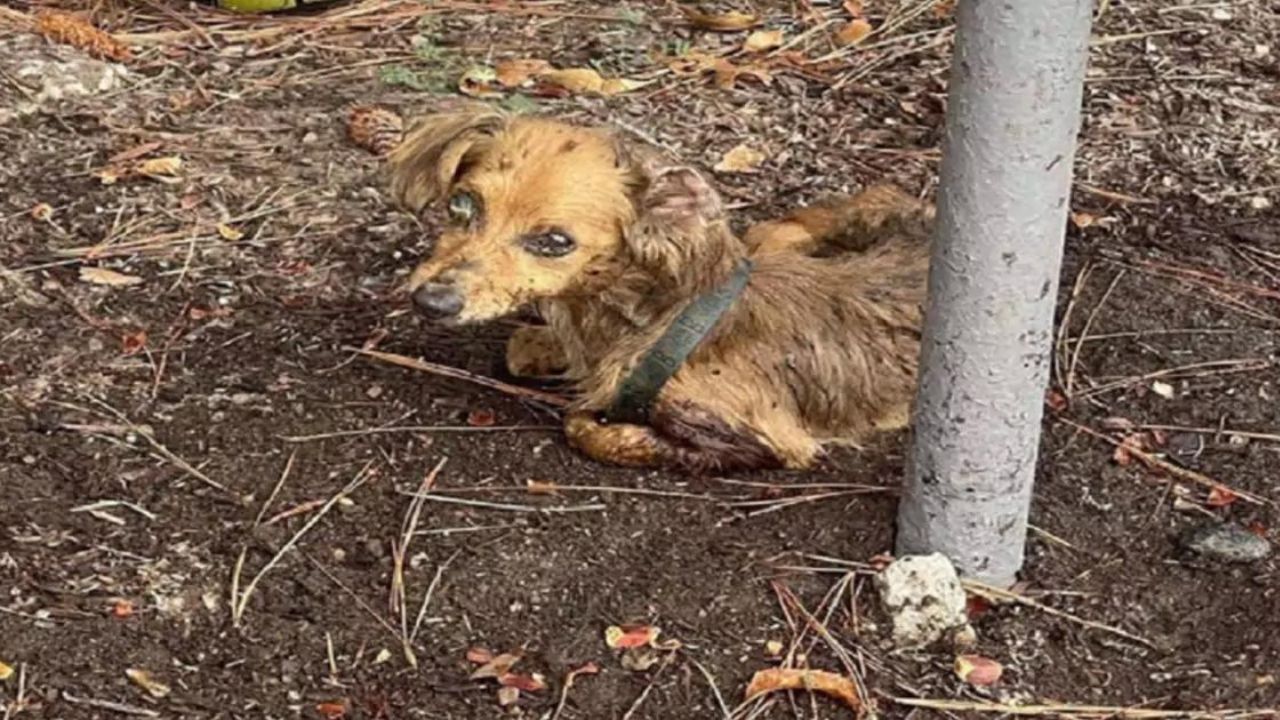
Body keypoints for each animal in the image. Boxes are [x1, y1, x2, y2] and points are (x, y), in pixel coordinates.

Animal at [389, 106, 931, 471]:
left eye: (555, 241)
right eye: (461, 204)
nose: (430, 301)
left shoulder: (761, 438)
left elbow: (587, 428)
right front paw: (542, 346)